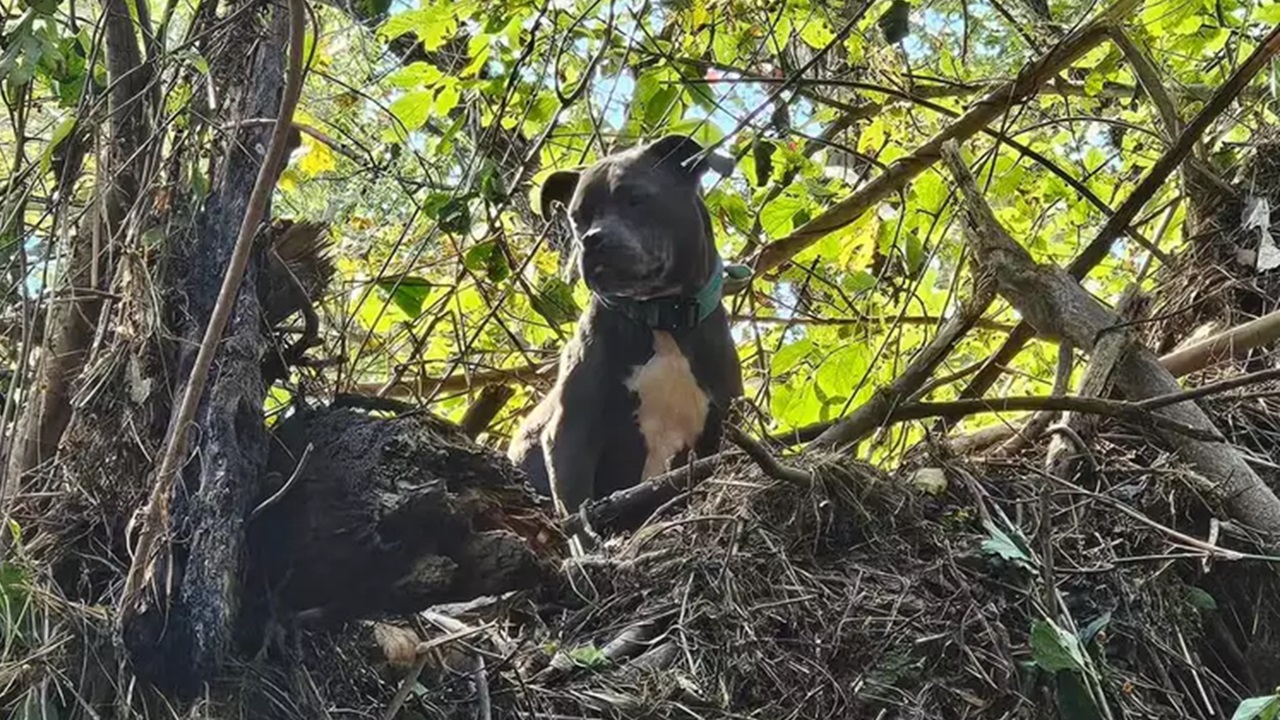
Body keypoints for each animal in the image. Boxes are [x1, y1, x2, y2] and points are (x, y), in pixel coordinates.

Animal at [509, 135, 747, 527]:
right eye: (577, 218)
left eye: (634, 198)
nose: (591, 239)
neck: (662, 316)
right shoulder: (570, 432)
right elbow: (577, 515)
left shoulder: (719, 429)